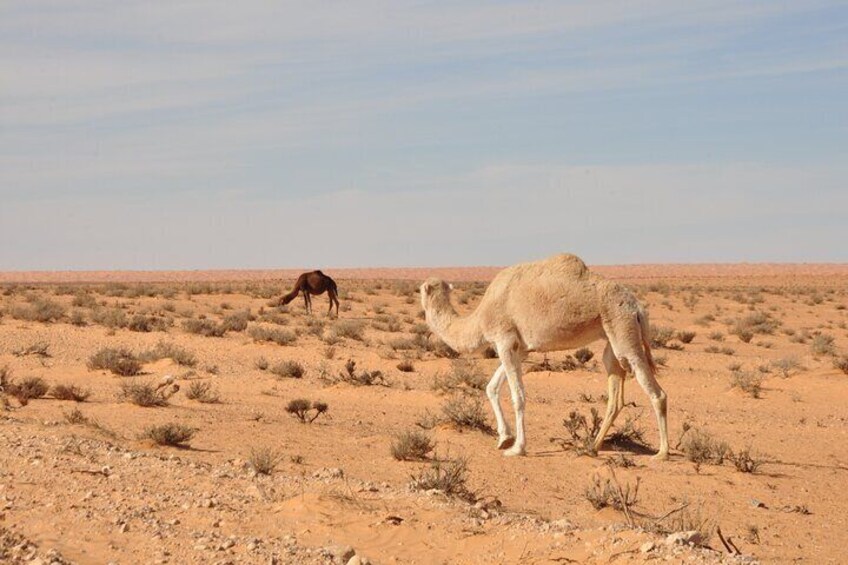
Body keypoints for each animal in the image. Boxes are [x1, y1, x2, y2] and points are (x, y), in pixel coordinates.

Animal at [422, 254, 668, 458]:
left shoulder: (504, 340)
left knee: (656, 392)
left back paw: (662, 453)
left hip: (622, 326)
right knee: (616, 394)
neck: (481, 317)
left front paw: (517, 448)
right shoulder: (519, 348)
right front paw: (504, 438)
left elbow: (518, 396)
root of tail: (638, 307)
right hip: (612, 337)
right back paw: (593, 446)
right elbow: (491, 387)